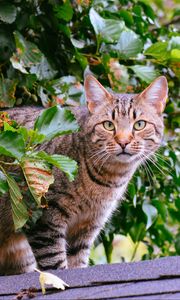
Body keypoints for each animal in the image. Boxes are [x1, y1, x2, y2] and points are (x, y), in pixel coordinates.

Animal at [0, 74, 167, 274]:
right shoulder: (43, 219)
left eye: (139, 124)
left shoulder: (87, 227)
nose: (123, 141)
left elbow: (78, 263)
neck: (108, 180)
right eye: (108, 125)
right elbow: (55, 265)